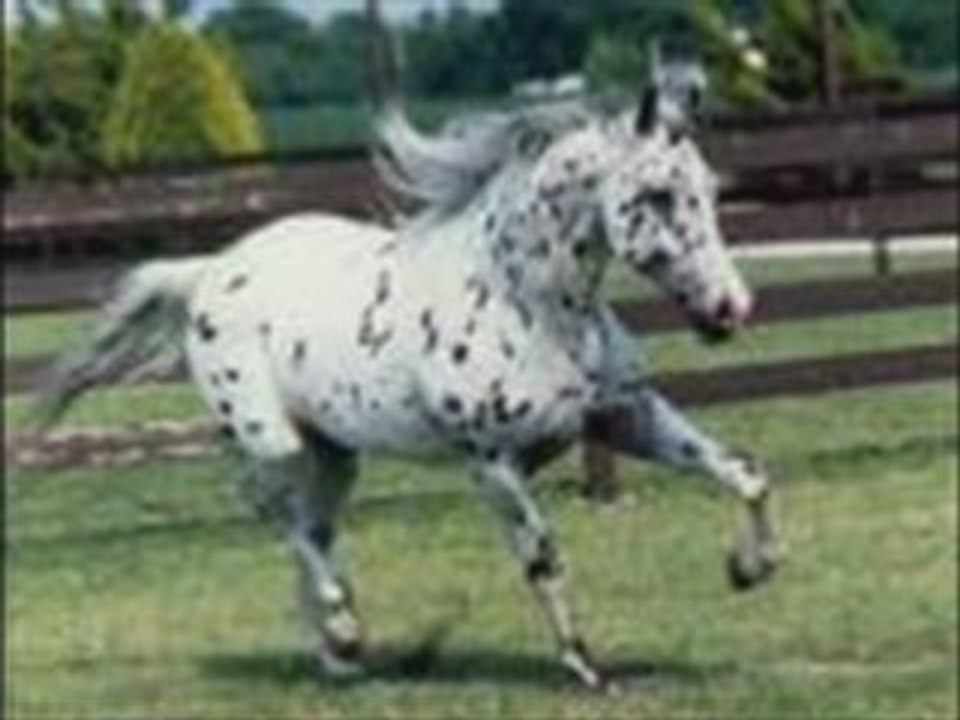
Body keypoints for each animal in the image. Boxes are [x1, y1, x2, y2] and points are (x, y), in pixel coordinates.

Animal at [40, 82, 781, 690]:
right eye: (656, 194)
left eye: (709, 191)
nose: (729, 309)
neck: (527, 303)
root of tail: (209, 272)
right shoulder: (493, 464)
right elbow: (542, 557)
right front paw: (582, 665)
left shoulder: (623, 416)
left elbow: (745, 474)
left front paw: (749, 569)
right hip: (271, 439)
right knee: (271, 509)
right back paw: (342, 626)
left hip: (335, 455)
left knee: (311, 526)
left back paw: (341, 655)